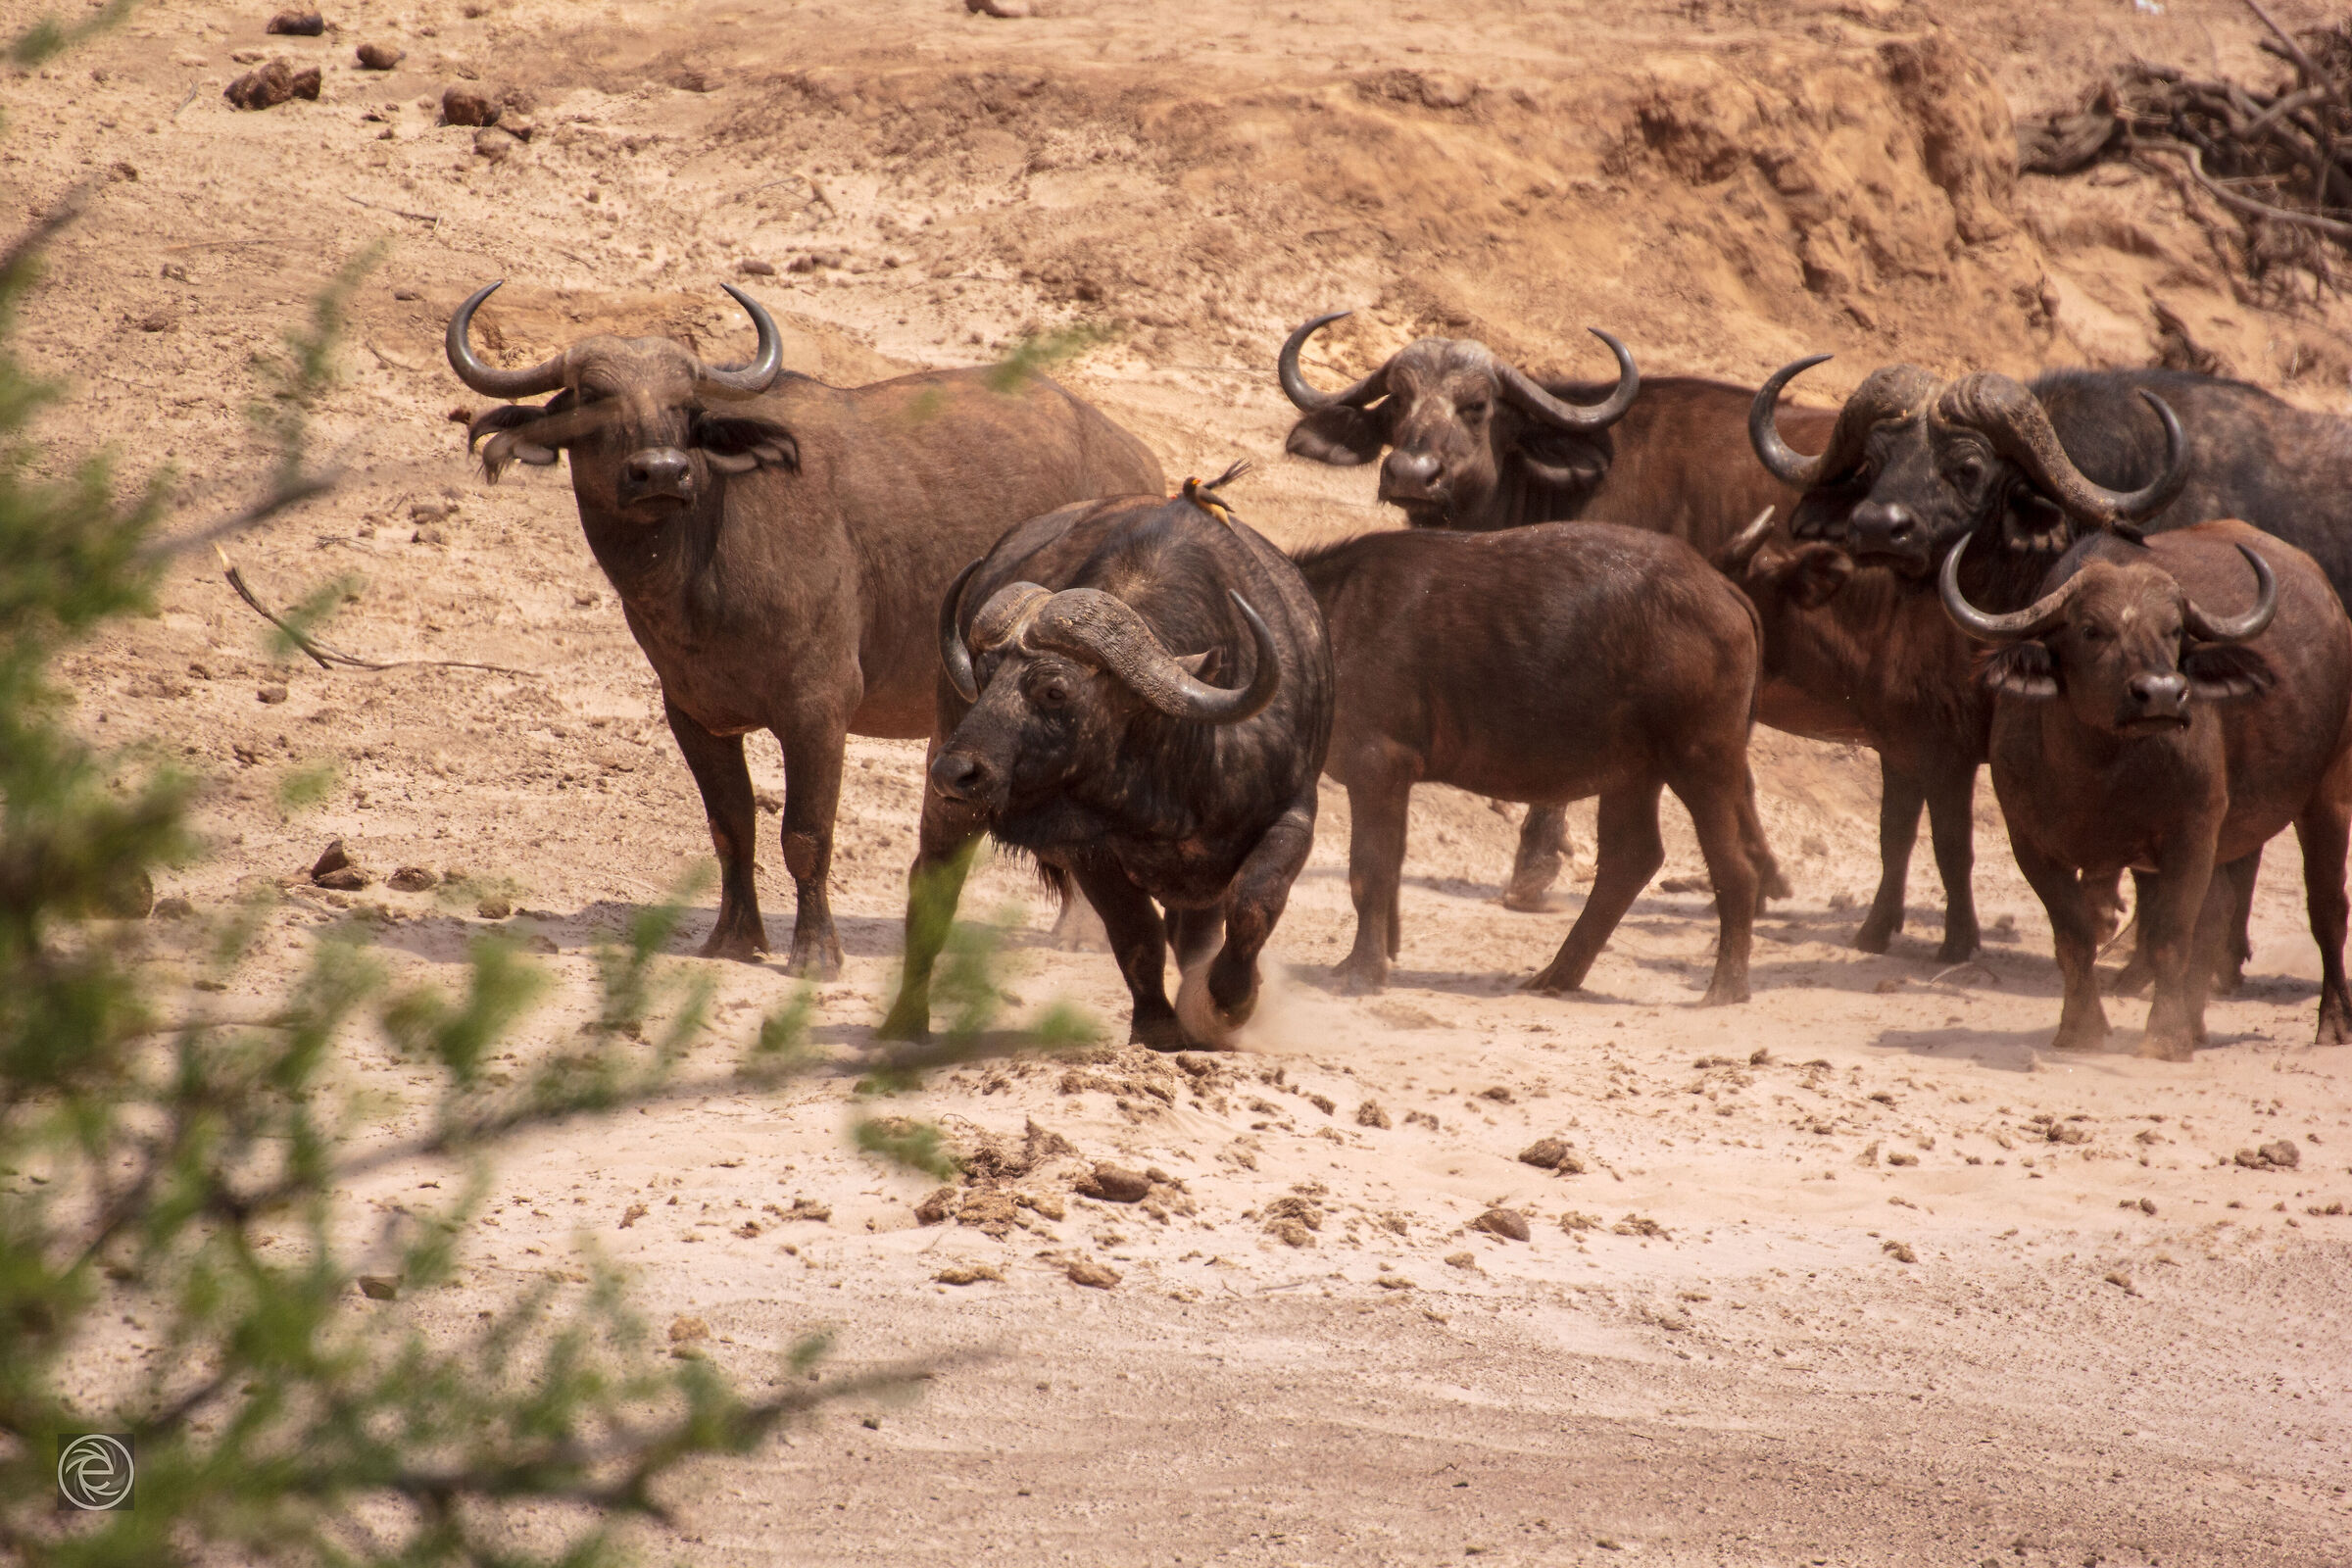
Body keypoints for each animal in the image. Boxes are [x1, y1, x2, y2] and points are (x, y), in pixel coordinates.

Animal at [447, 280, 1163, 975]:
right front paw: (734, 939)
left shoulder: (818, 711)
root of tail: (1141, 464)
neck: (705, 559)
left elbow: (805, 835)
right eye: (594, 396)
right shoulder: (693, 716)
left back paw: (1081, 933)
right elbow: (732, 828)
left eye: (685, 404)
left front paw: (816, 951)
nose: (662, 471)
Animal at [878, 480, 1333, 1051]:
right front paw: (1160, 1026)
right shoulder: (1087, 847)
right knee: (932, 889)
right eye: (983, 676)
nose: (954, 771)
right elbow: (1135, 932)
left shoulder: (1294, 816)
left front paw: (1227, 1002)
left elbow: (1253, 904)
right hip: (951, 808)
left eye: (1055, 690)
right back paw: (904, 1022)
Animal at [1294, 521, 1774, 1005]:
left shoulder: (1379, 764)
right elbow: (1389, 867)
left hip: (1701, 758)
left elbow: (1369, 869)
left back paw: (1725, 987)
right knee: (1631, 859)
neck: (1330, 623)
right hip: (1635, 770)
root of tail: (1722, 587)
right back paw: (1558, 974)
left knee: (1735, 865)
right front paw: (1377, 957)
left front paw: (1363, 972)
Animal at [1940, 522, 2352, 1057]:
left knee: (2327, 908)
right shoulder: (2029, 844)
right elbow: (2074, 936)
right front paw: (2081, 1029)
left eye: (2173, 629)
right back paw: (2197, 1022)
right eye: (2090, 629)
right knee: (2220, 910)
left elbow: (2172, 935)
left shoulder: (2191, 835)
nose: (2161, 693)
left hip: (2328, 792)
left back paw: (2333, 1024)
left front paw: (2164, 1038)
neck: (2099, 770)